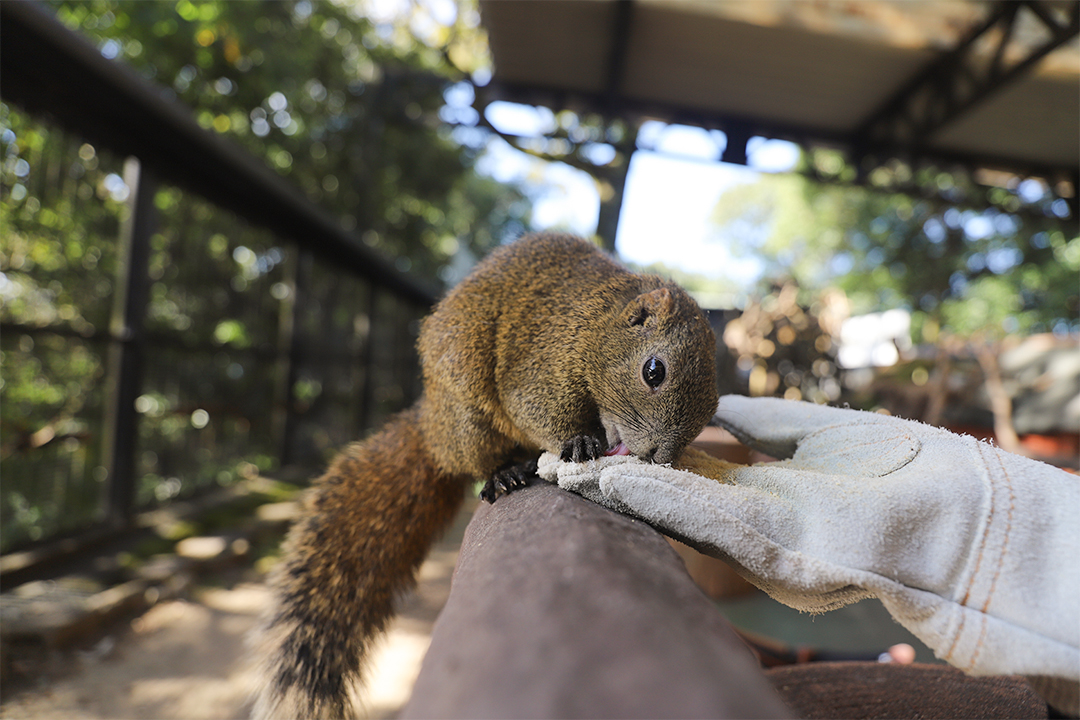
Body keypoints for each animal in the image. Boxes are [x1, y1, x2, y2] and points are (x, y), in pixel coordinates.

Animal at [250, 234, 717, 716]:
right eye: (653, 371)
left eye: (712, 407)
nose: (660, 457)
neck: (597, 321)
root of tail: (432, 428)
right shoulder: (542, 360)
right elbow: (532, 405)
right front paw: (576, 441)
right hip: (468, 415)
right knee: (481, 458)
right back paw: (504, 473)